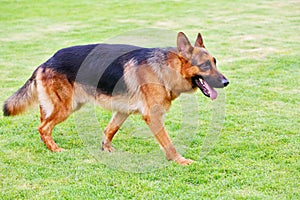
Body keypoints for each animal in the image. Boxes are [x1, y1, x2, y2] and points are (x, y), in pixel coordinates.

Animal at [2, 32, 229, 165]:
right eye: (205, 66)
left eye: (215, 62)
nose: (226, 82)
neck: (166, 69)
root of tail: (46, 61)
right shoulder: (153, 117)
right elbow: (168, 142)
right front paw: (179, 160)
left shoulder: (122, 111)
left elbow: (110, 130)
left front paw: (106, 149)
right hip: (66, 107)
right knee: (43, 127)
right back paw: (55, 149)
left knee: (44, 124)